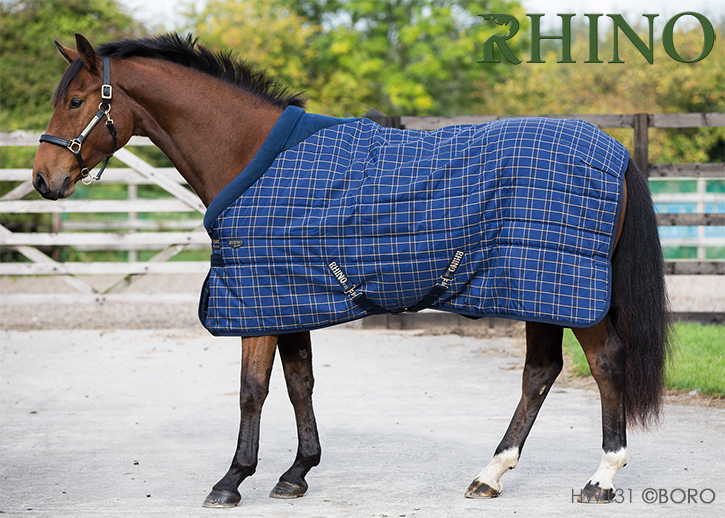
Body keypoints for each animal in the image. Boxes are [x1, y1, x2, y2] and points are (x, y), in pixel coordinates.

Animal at [32, 33, 671, 508]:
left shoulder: (259, 297)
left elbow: (252, 390)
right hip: (539, 288)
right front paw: (296, 473)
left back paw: (601, 478)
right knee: (540, 373)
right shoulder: (289, 295)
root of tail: (615, 153)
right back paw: (490, 474)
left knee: (605, 364)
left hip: (571, 290)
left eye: (75, 101)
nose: (43, 179)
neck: (250, 152)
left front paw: (232, 480)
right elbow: (299, 382)